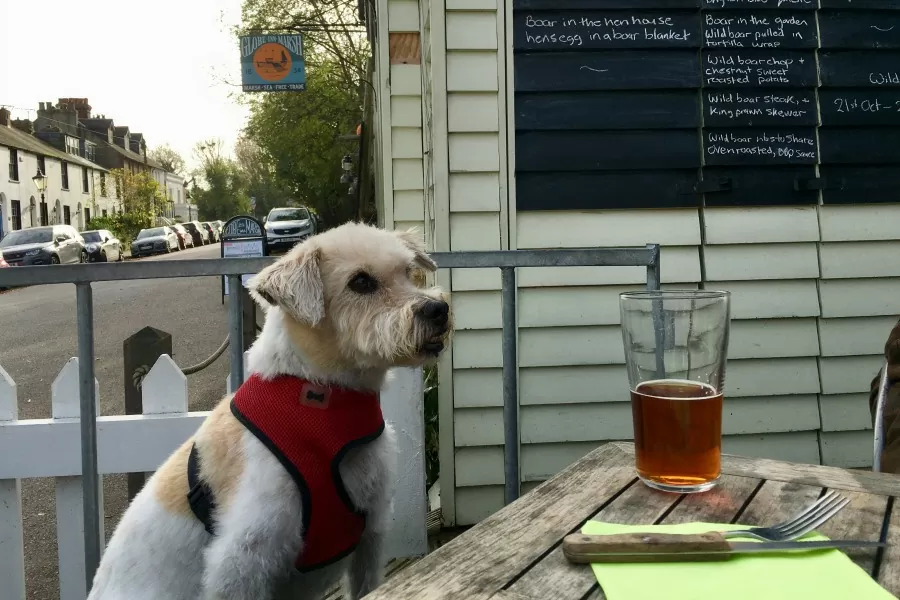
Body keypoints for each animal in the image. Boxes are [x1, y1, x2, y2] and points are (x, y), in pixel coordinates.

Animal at [88, 223, 450, 596]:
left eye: (409, 272)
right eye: (360, 282)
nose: (438, 310)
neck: (318, 397)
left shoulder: (371, 534)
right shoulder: (240, 561)